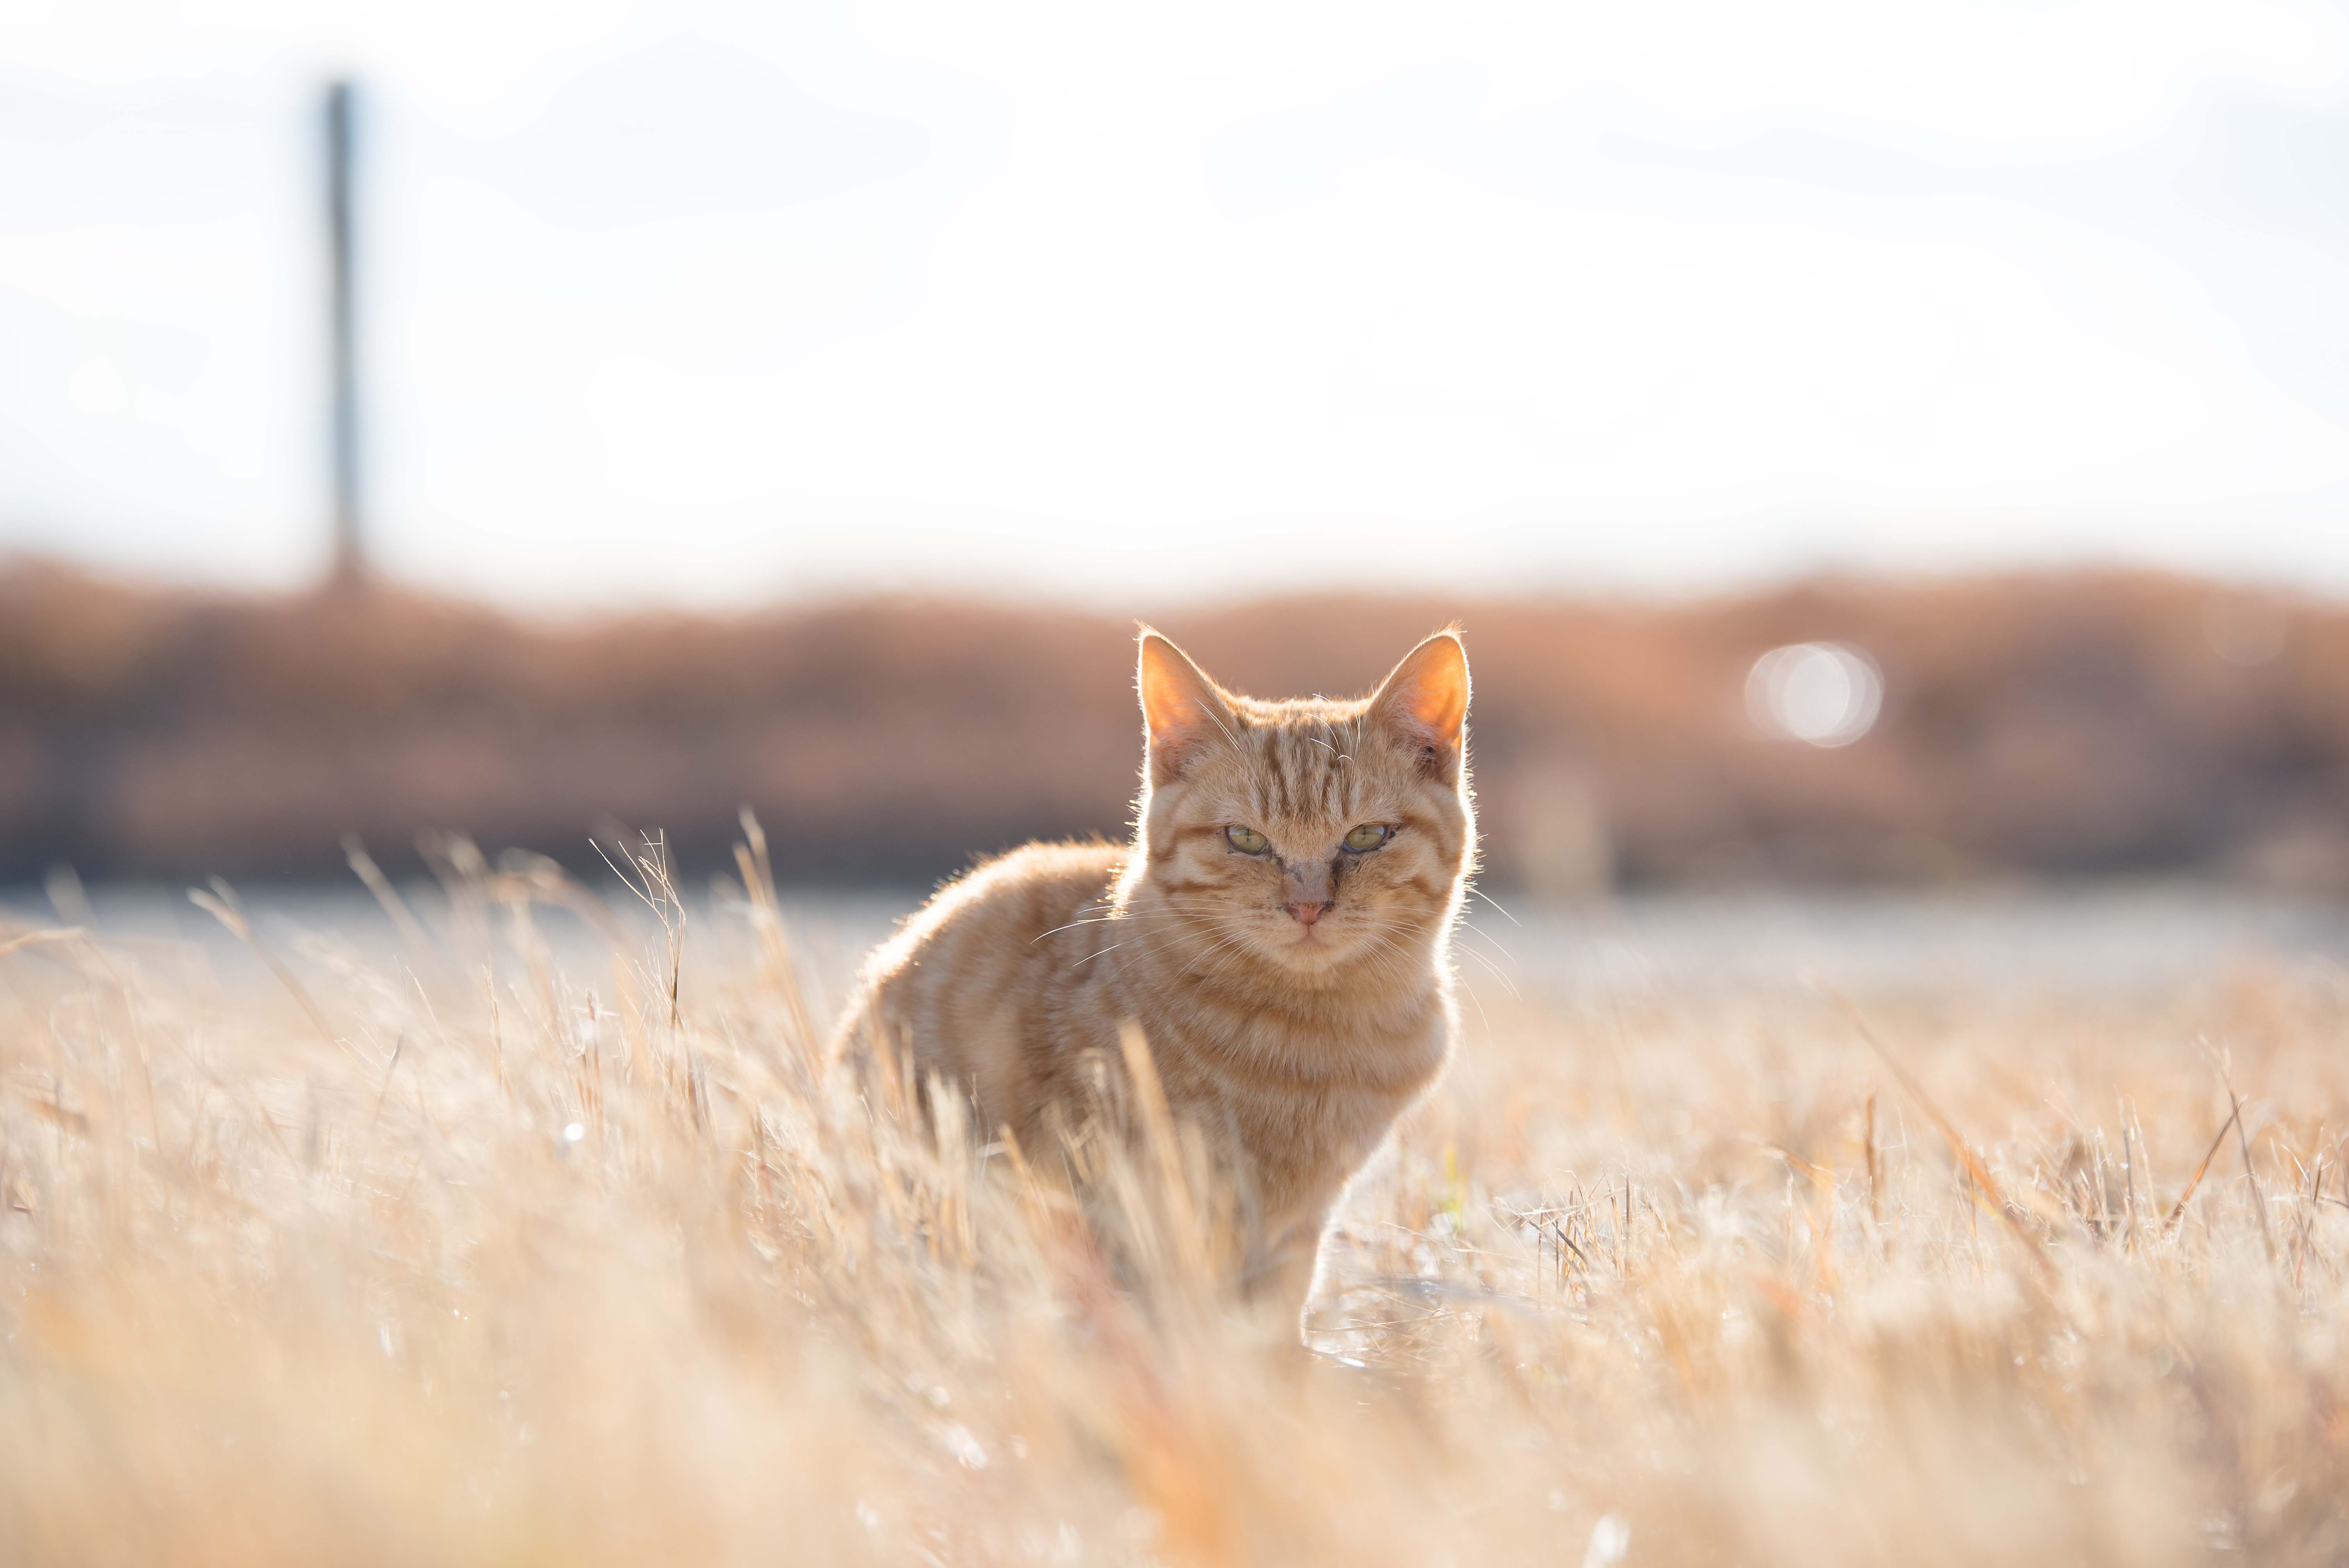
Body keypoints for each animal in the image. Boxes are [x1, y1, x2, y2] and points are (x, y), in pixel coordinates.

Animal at [841, 629, 1465, 1333]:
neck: (1315, 1036)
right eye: (1246, 839)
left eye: (1366, 837)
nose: (1308, 907)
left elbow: (1273, 1320)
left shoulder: (1298, 1224)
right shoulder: (1128, 1193)